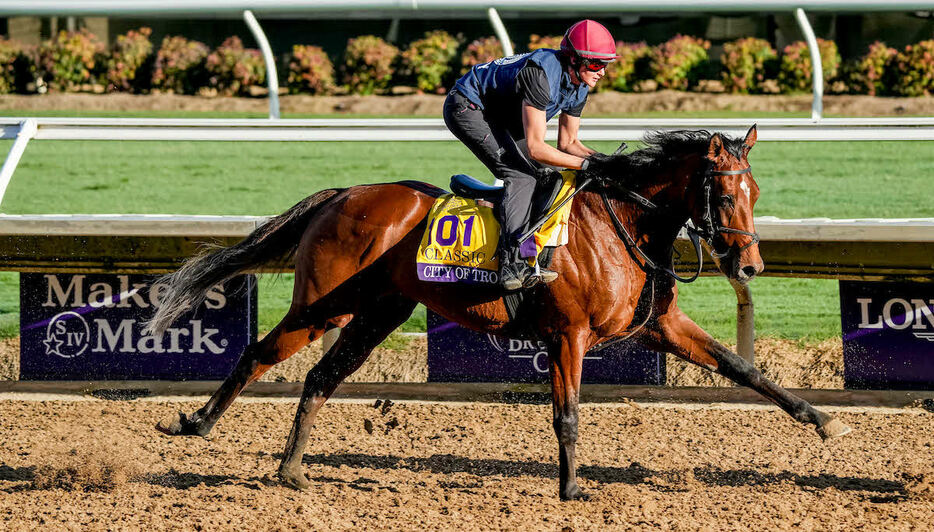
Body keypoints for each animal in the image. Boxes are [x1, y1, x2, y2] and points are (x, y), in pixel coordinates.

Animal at [148, 127, 856, 500]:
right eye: (727, 193)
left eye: (756, 190)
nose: (752, 265)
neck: (624, 225)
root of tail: (342, 193)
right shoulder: (568, 334)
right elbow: (567, 413)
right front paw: (572, 488)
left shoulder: (660, 325)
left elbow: (744, 368)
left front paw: (824, 421)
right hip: (324, 305)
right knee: (258, 354)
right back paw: (196, 424)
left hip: (379, 312)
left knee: (321, 377)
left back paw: (292, 470)